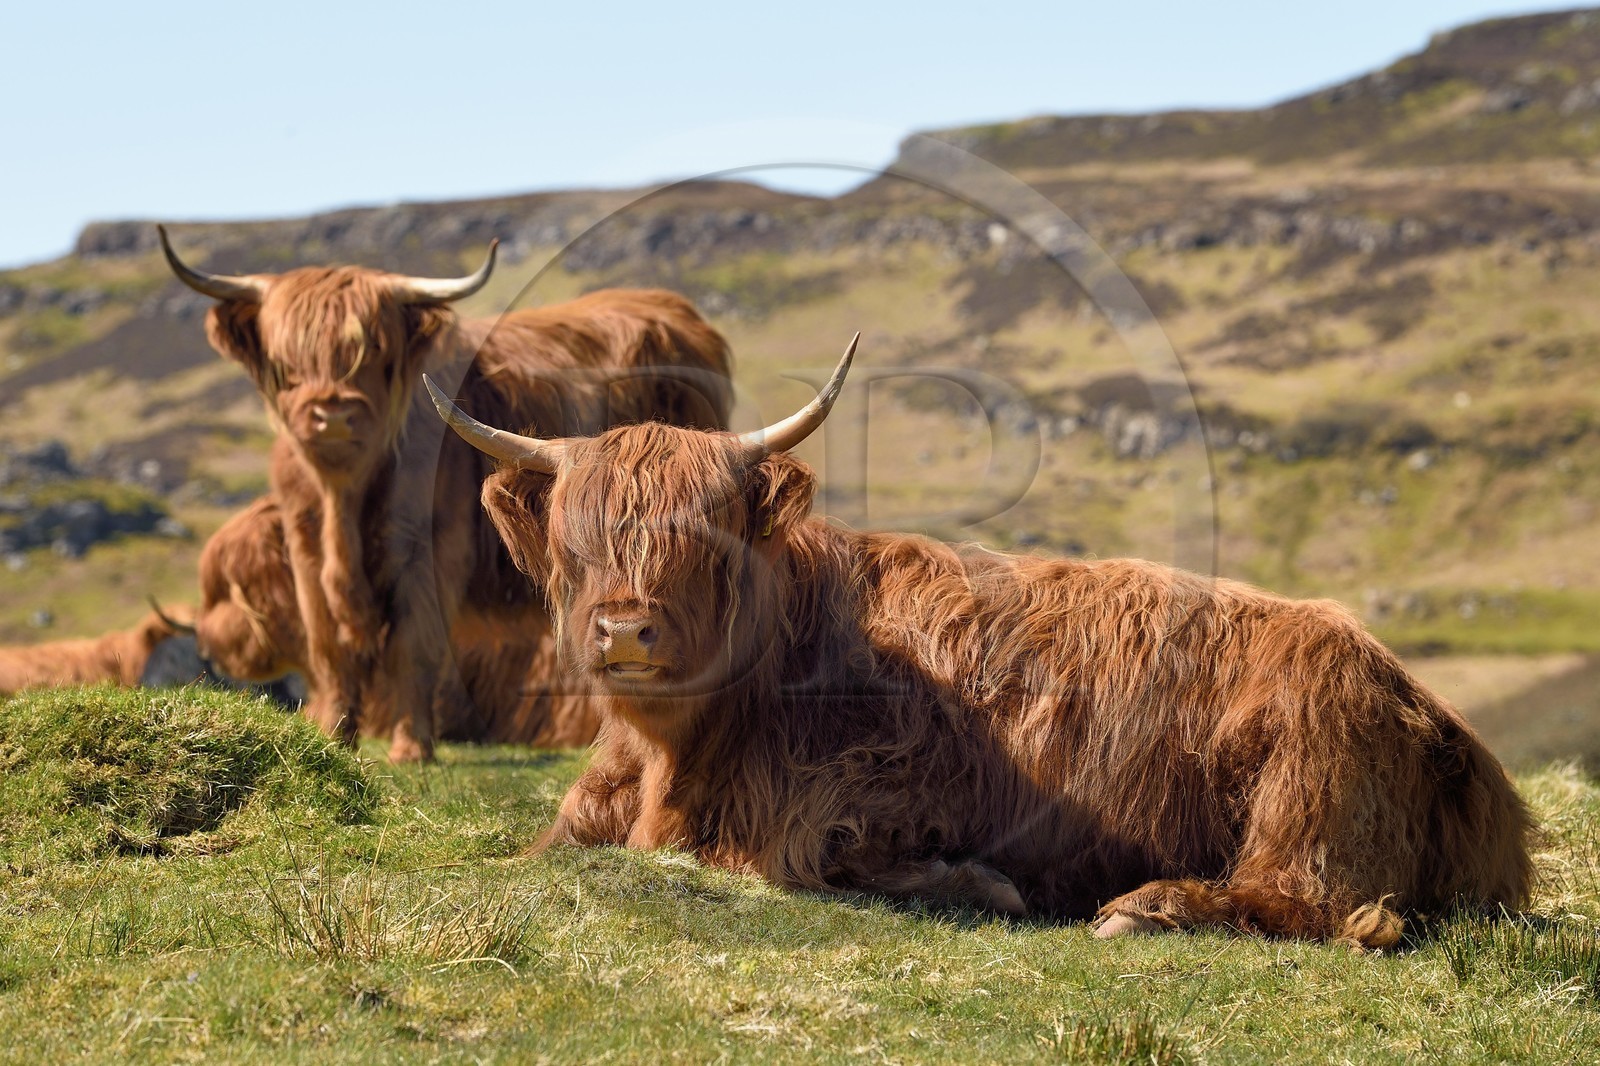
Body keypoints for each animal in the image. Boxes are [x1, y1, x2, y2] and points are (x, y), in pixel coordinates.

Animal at [424, 339, 1534, 948]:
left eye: (707, 539)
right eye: (575, 539)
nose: (625, 628)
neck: (675, 756)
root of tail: (1432, 710)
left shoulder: (868, 790)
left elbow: (788, 854)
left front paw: (976, 883)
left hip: (1306, 775)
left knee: (1320, 901)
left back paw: (1151, 908)